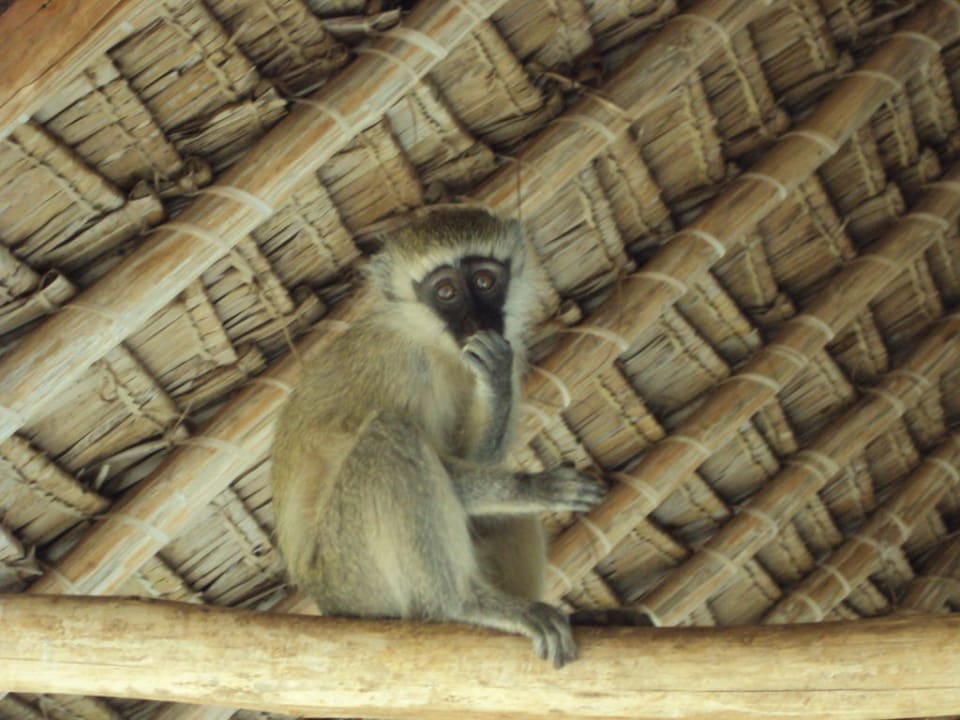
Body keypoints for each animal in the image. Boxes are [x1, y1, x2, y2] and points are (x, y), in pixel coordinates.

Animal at [270, 207, 606, 667]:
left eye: (484, 281)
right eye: (445, 291)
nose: (478, 322)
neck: (435, 346)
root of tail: (323, 599)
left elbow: (472, 461)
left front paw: (497, 382)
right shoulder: (397, 365)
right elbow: (448, 470)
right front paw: (535, 485)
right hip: (354, 578)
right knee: (389, 437)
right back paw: (462, 605)